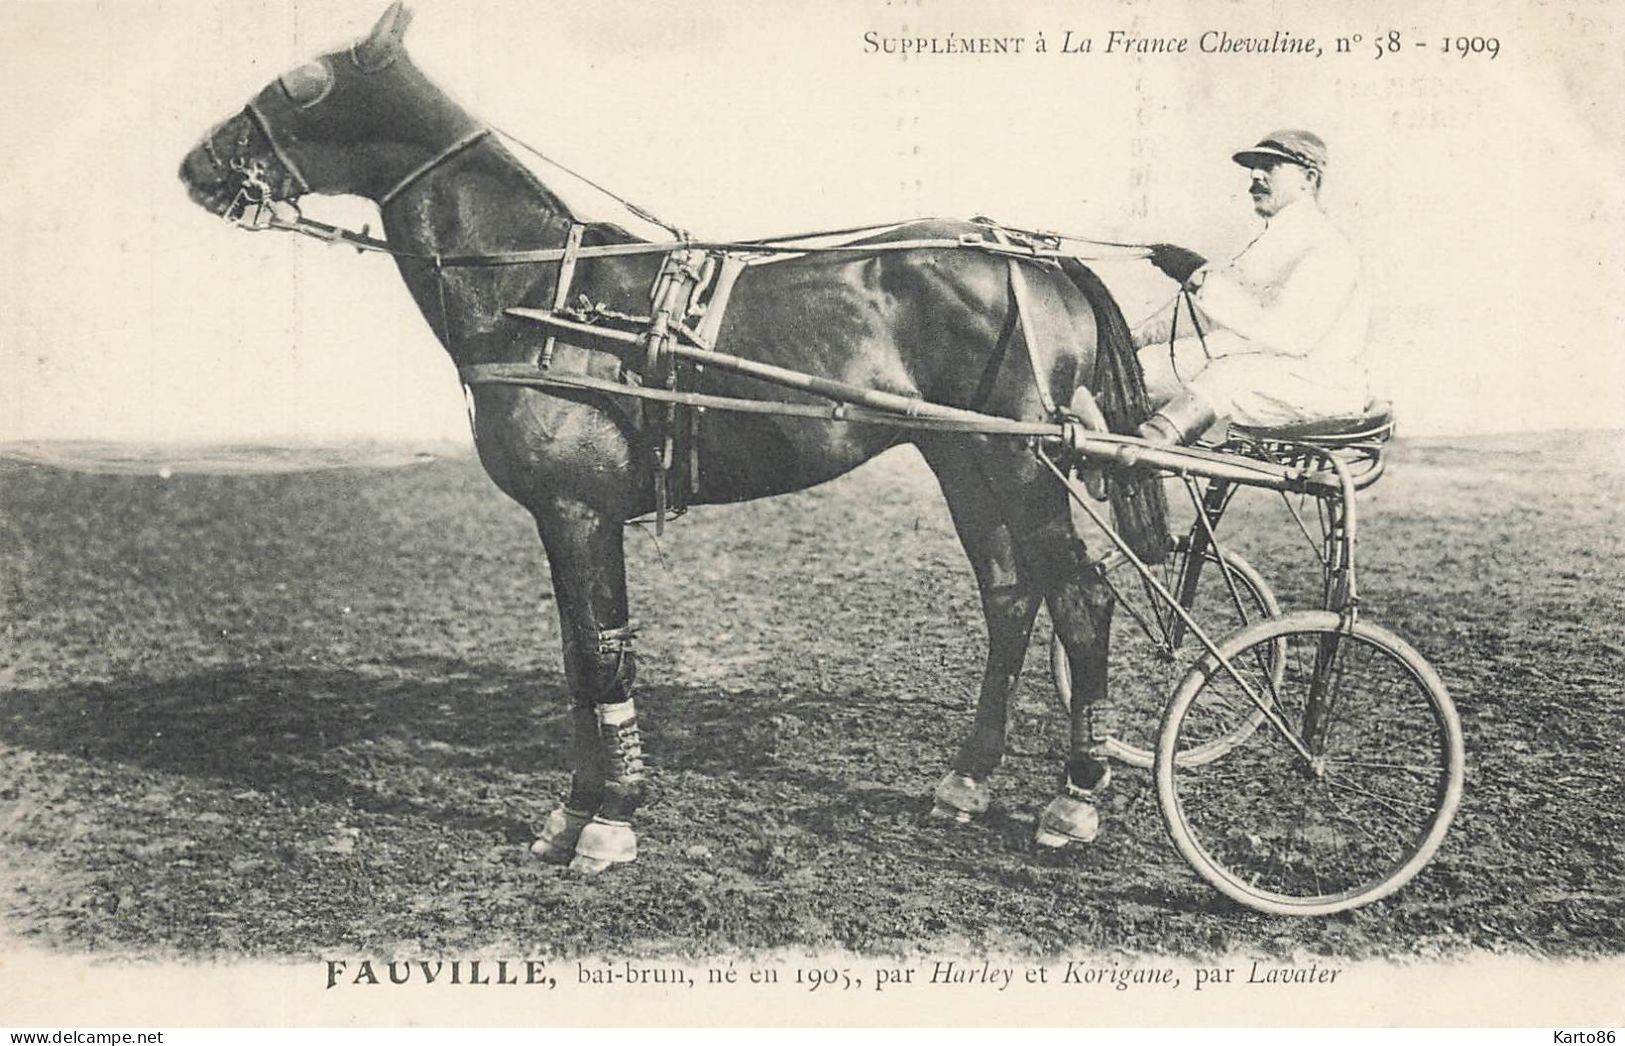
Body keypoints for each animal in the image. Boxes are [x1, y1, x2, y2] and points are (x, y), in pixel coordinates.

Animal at [181, 4, 1170, 877]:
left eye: (299, 83)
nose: (197, 164)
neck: (544, 293)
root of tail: (1034, 259)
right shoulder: (561, 518)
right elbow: (579, 657)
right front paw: (571, 813)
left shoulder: (579, 509)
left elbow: (602, 653)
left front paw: (610, 820)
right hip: (961, 457)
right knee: (1009, 596)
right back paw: (966, 781)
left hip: (1021, 462)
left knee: (1081, 600)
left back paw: (1075, 798)